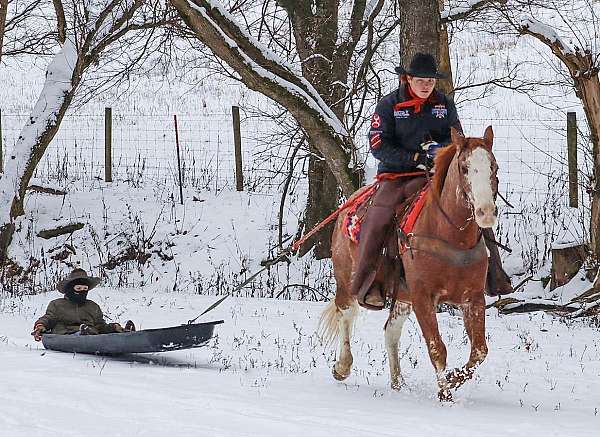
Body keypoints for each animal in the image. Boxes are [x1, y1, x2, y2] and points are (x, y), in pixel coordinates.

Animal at [322, 127, 500, 402]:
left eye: (494, 166)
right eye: (464, 168)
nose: (486, 213)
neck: (449, 234)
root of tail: (348, 206)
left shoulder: (472, 298)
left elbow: (479, 351)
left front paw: (452, 379)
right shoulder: (423, 297)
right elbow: (437, 348)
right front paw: (445, 393)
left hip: (402, 298)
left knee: (391, 331)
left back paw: (398, 384)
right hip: (346, 279)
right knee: (346, 312)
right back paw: (342, 367)